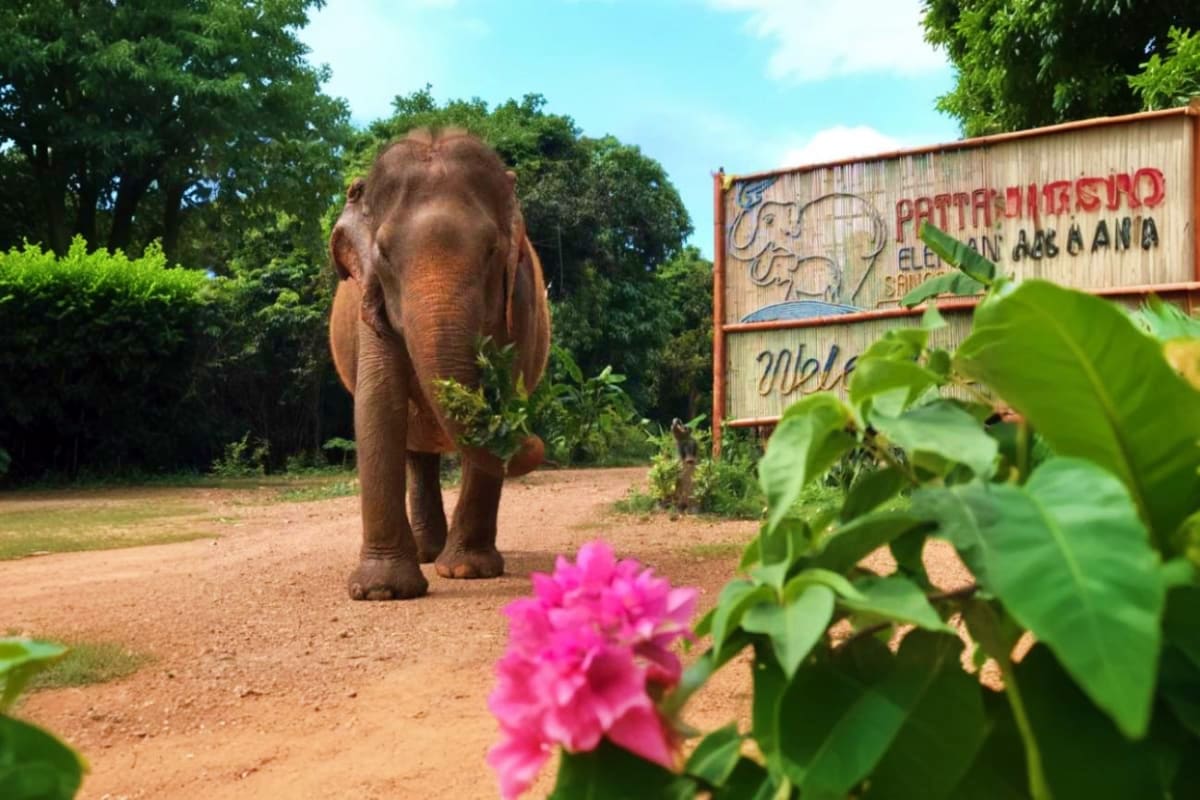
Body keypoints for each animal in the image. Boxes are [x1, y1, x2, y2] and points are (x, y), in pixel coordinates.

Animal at [327, 128, 551, 601]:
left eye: (490, 251)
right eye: (384, 253)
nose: (531, 438)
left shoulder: (520, 300)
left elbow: (502, 388)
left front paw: (468, 572)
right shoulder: (370, 304)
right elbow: (378, 403)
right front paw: (381, 592)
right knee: (416, 451)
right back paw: (426, 553)